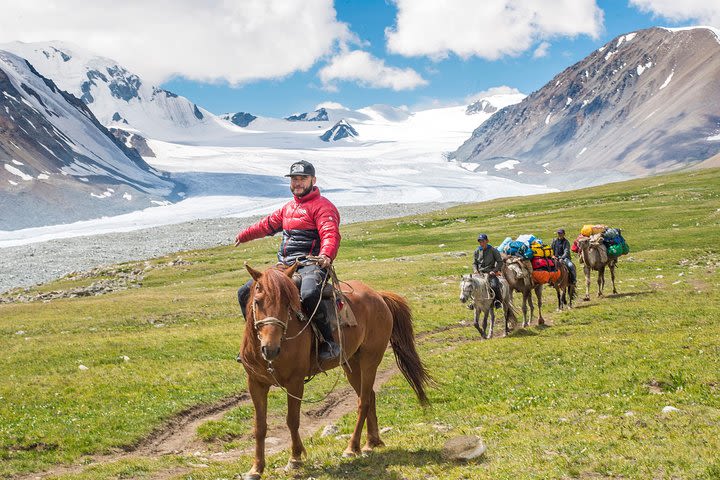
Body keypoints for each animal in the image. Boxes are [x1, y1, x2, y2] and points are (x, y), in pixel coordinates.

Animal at [239, 262, 430, 480]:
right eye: (257, 301)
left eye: (288, 305)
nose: (270, 349)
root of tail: (378, 295)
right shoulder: (256, 384)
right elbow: (260, 426)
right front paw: (256, 468)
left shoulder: (295, 383)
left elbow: (292, 420)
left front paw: (295, 459)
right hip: (351, 364)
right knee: (369, 396)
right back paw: (371, 443)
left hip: (370, 361)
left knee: (363, 401)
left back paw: (352, 447)